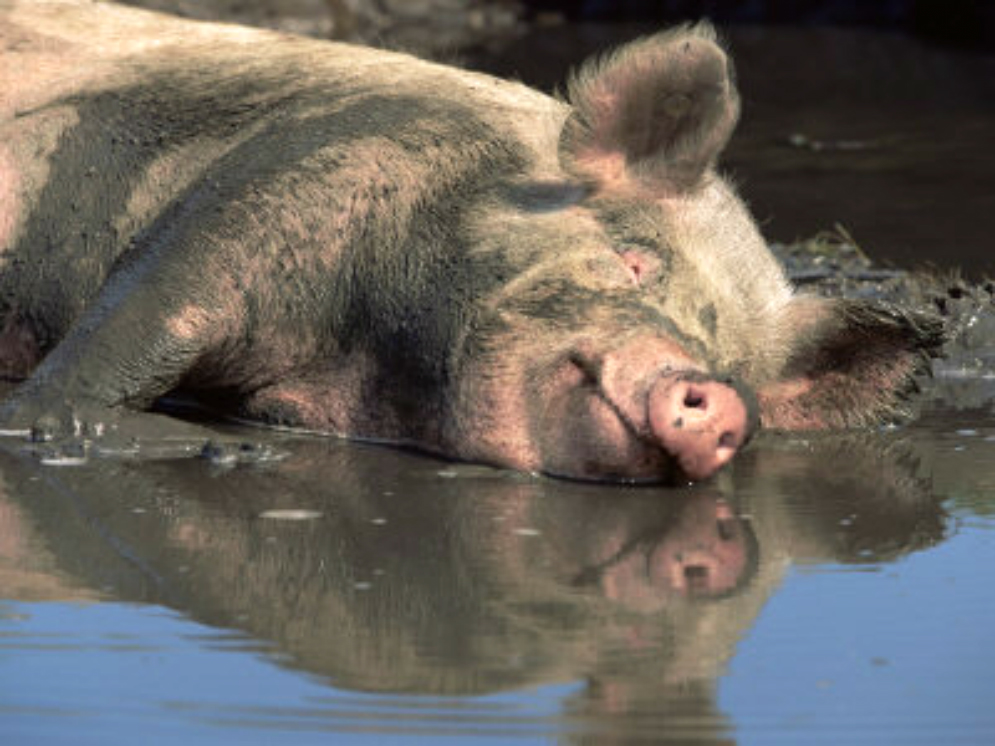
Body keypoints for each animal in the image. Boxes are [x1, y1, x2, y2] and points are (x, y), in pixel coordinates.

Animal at [0, 1, 940, 482]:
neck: (361, 370)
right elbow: (142, 317)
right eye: (633, 257)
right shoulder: (270, 189)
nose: (720, 394)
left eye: (739, 363)